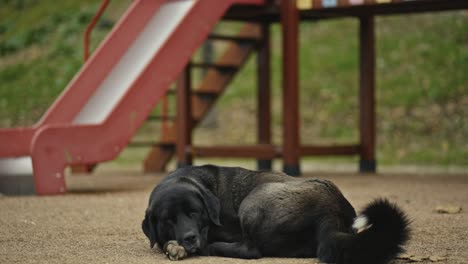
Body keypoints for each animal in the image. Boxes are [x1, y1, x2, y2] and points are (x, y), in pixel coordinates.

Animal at [143, 166, 410, 262]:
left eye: (195, 212)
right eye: (168, 220)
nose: (189, 238)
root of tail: (331, 209)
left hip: (251, 203)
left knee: (251, 251)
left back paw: (213, 248)